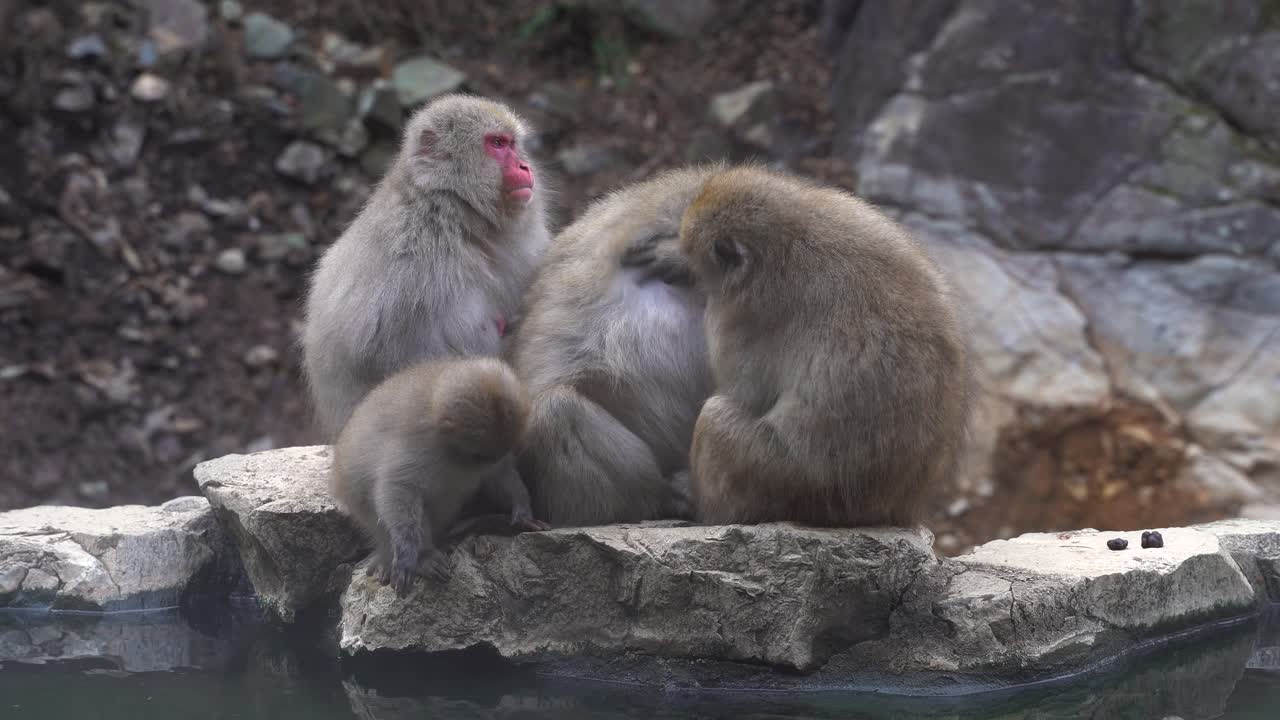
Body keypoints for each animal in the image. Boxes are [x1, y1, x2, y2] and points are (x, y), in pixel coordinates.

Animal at [329, 357, 548, 597]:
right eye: (479, 455)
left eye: (491, 456)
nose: (489, 461)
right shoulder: (421, 442)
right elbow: (397, 487)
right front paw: (407, 552)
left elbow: (499, 474)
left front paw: (522, 509)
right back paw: (423, 556)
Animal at [678, 165, 972, 528]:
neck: (790, 232)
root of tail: (891, 509)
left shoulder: (738, 315)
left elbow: (746, 393)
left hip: (783, 485)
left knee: (715, 419)